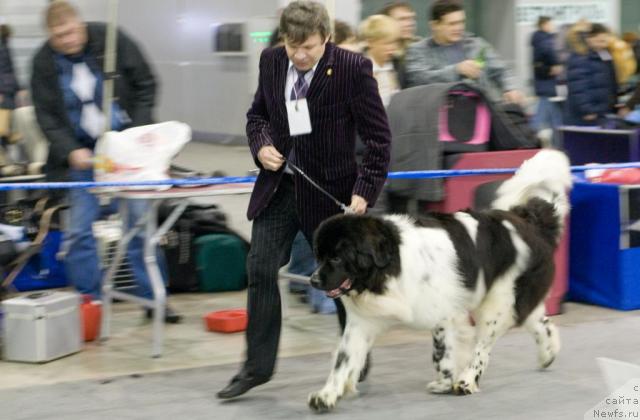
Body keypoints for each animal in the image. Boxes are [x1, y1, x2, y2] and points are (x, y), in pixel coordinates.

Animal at [308, 149, 572, 412]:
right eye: (319, 255)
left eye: (336, 257)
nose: (313, 280)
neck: (391, 264)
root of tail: (527, 221)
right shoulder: (362, 322)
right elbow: (343, 360)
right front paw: (326, 395)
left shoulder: (445, 314)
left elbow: (441, 353)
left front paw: (446, 382)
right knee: (539, 322)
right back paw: (548, 354)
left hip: (498, 303)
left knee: (483, 347)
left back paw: (467, 380)